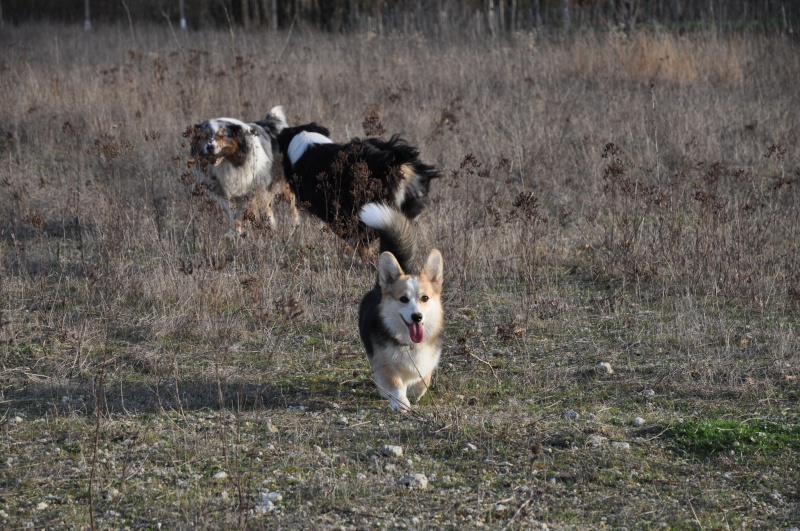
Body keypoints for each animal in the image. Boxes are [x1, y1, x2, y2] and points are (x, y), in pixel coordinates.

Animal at [190, 106, 296, 235]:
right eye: (204, 137)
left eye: (221, 136)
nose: (210, 147)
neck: (229, 163)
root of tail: (275, 120)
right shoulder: (222, 191)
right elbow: (233, 212)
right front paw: (234, 232)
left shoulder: (252, 190)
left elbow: (245, 211)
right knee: (267, 206)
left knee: (291, 205)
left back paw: (294, 225)